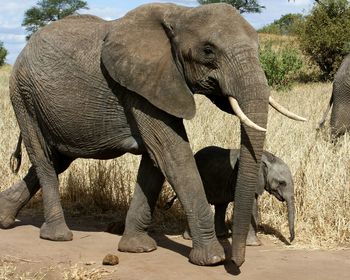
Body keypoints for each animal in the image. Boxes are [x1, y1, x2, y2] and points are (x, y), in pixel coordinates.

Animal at [0, 3, 304, 266]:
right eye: (208, 50)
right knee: (43, 158)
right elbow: (172, 153)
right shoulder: (140, 86)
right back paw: (58, 236)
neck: (181, 13)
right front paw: (213, 259)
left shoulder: (153, 85)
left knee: (57, 159)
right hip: (23, 94)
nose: (237, 262)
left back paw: (4, 218)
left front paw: (138, 248)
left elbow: (155, 160)